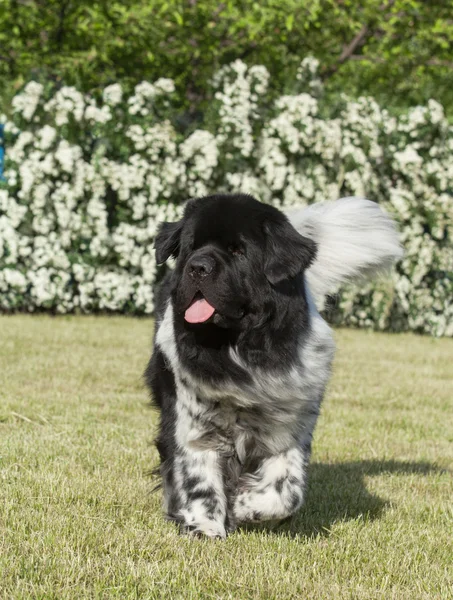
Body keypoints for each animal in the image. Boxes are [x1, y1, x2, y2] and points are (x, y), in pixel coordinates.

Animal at [144, 193, 400, 540]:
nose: (198, 267)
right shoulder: (192, 420)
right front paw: (204, 527)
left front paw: (245, 505)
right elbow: (197, 475)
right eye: (190, 247)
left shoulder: (290, 420)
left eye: (238, 251)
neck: (241, 350)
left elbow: (286, 490)